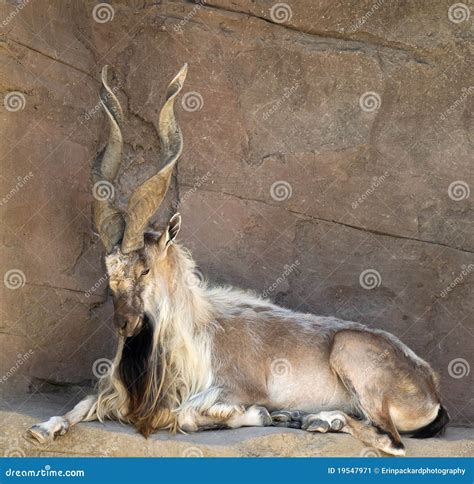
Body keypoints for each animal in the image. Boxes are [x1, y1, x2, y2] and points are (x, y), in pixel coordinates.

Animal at [25, 66, 448, 456]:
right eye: (107, 271)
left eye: (144, 267)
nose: (124, 325)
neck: (193, 331)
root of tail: (429, 387)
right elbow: (84, 402)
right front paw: (42, 429)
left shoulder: (226, 391)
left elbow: (188, 416)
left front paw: (264, 414)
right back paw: (314, 418)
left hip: (351, 354)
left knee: (392, 442)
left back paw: (314, 418)